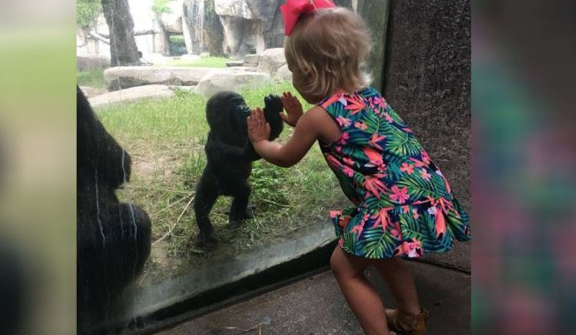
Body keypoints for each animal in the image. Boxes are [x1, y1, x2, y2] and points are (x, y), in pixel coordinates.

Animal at [194, 91, 284, 247]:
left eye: (242, 102)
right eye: (235, 104)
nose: (245, 107)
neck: (227, 130)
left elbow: (267, 139)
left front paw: (273, 110)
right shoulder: (215, 142)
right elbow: (247, 153)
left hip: (234, 188)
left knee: (244, 191)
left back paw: (238, 215)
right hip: (208, 183)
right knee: (201, 205)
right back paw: (206, 233)